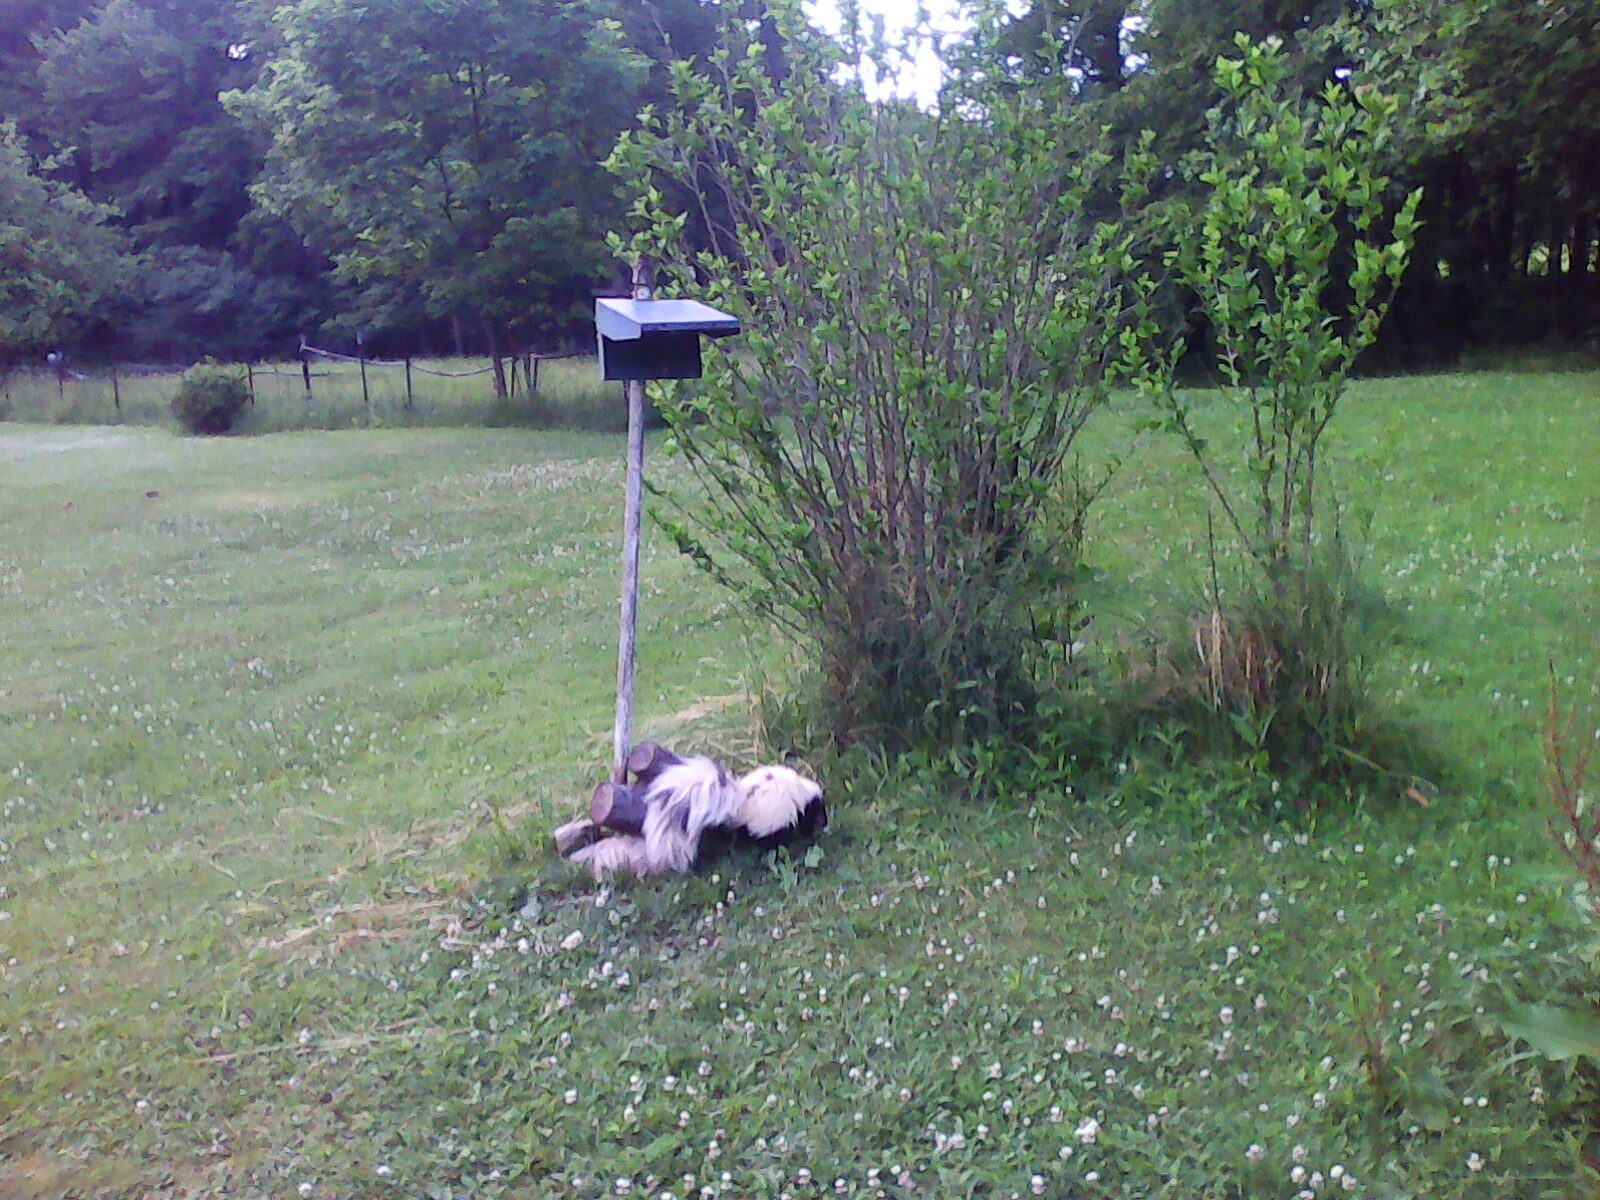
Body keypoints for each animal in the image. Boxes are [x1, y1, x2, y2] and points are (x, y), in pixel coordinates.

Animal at [550, 761, 825, 883]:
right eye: (821, 814)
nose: (825, 824)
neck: (804, 796)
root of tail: (738, 802)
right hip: (756, 828)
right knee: (752, 841)